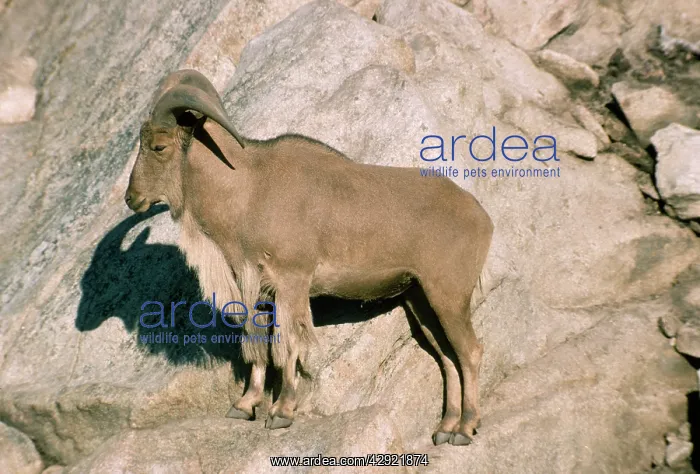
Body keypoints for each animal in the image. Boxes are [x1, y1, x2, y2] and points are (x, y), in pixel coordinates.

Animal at [124, 69, 494, 446]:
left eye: (159, 146)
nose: (131, 197)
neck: (250, 189)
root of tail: (482, 216)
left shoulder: (292, 281)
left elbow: (288, 344)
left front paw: (282, 411)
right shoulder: (259, 289)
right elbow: (258, 343)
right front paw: (245, 404)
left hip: (448, 294)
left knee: (470, 352)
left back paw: (465, 428)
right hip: (419, 299)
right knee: (447, 356)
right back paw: (444, 428)